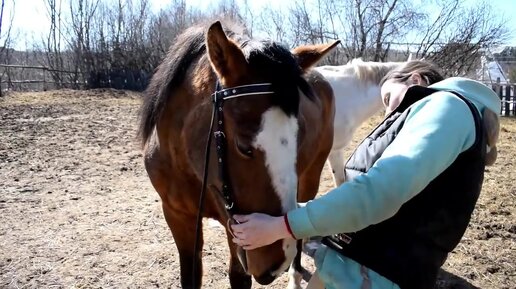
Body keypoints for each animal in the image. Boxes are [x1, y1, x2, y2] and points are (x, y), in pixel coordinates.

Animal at [137, 20, 338, 288]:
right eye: (243, 146)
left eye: (300, 136)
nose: (276, 263)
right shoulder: (177, 216)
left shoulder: (235, 228)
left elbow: (239, 276)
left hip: (310, 178)